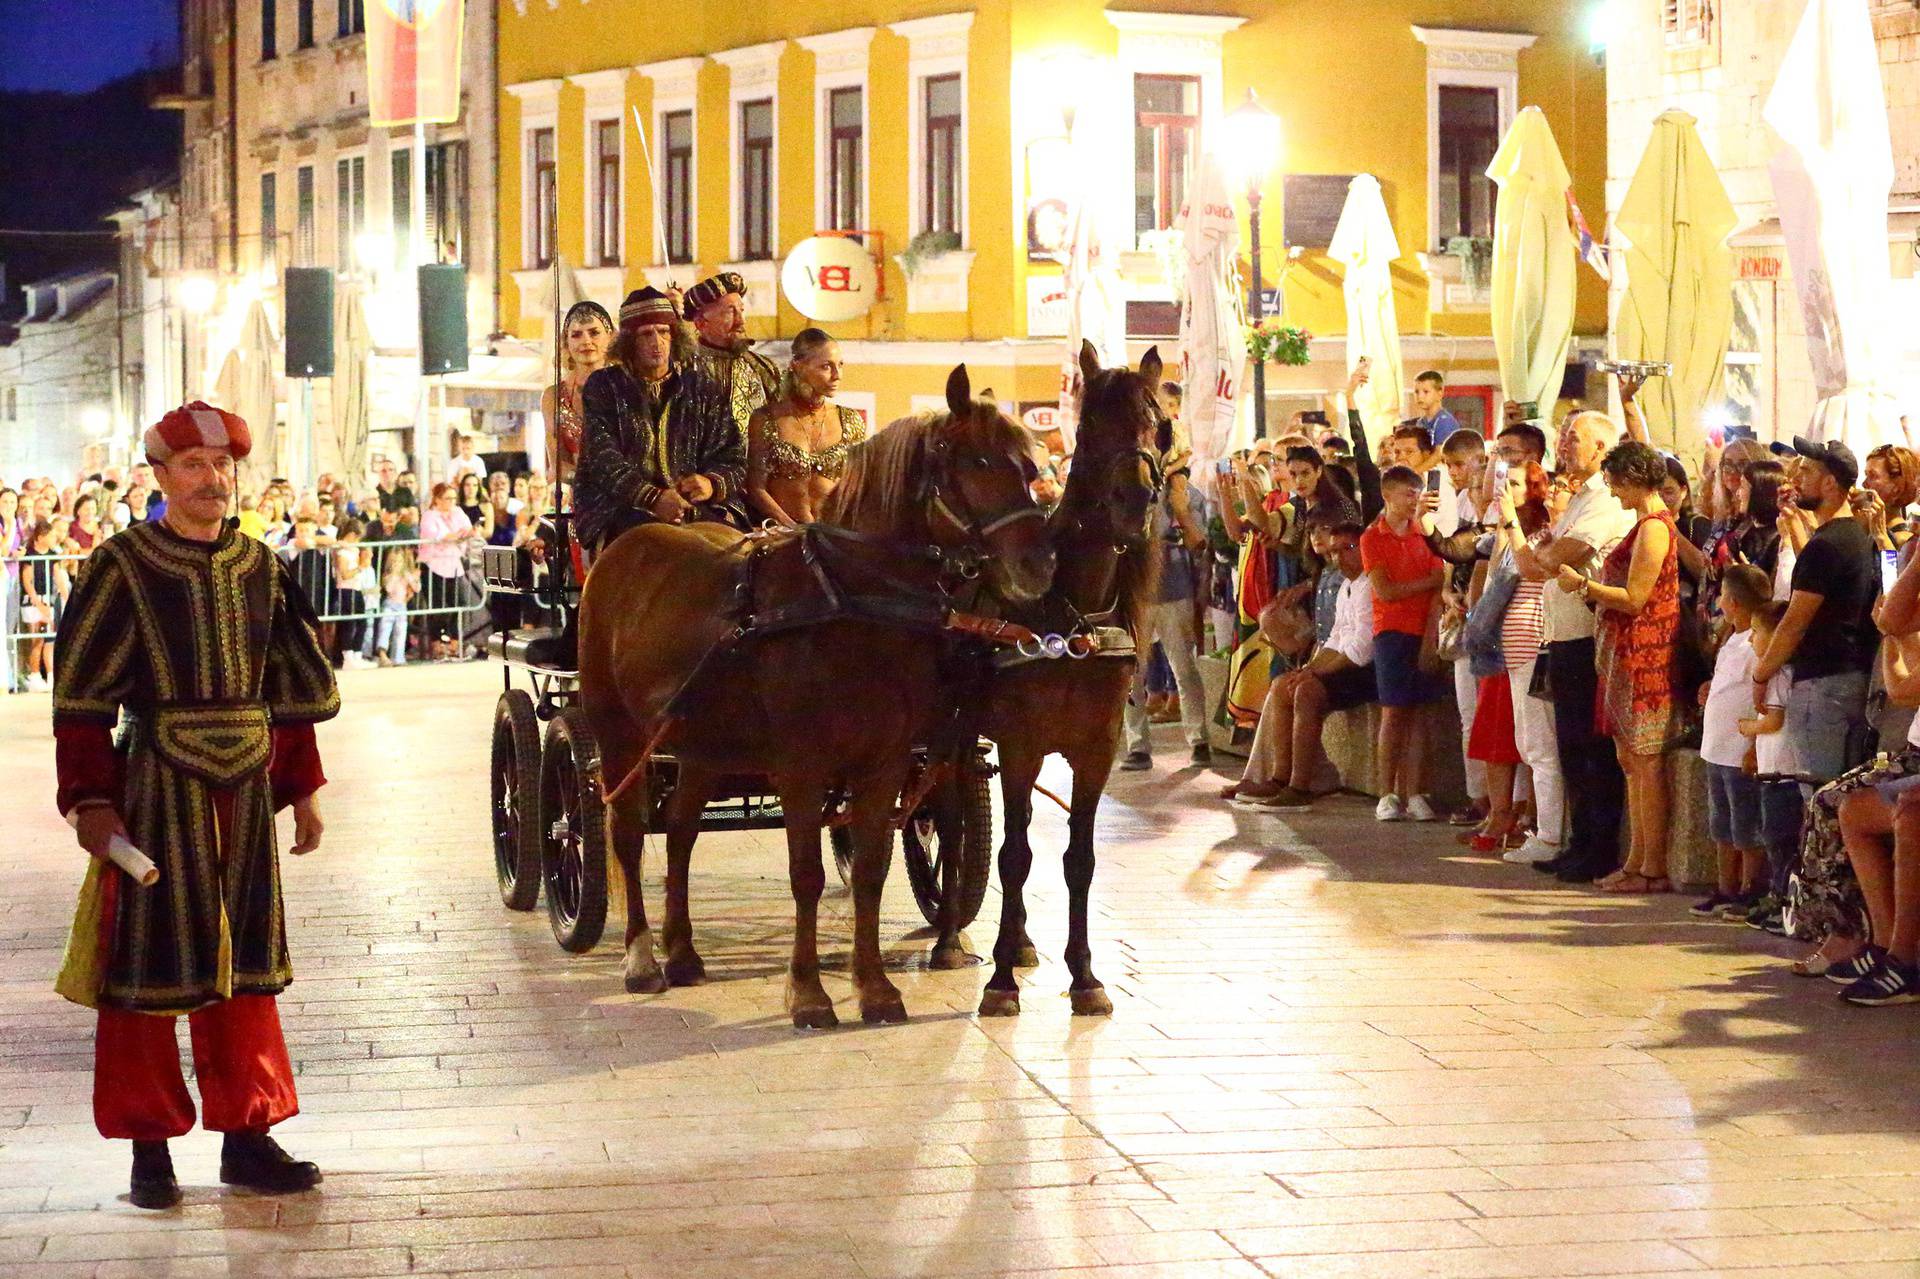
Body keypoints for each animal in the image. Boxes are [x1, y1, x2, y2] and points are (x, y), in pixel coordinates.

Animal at [572, 361, 1052, 1029]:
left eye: (1028, 465)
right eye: (978, 462)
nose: (1039, 565)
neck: (850, 601)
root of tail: (626, 549)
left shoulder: (884, 764)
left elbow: (872, 871)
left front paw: (876, 987)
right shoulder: (801, 768)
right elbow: (806, 875)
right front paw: (808, 993)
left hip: (700, 745)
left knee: (683, 830)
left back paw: (684, 952)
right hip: (618, 735)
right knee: (627, 831)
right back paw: (642, 958)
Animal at [925, 341, 1152, 1013]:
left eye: (1155, 422)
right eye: (1093, 425)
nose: (1135, 503)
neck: (1071, 615)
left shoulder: (1096, 751)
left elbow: (1078, 858)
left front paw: (1085, 976)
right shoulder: (1023, 747)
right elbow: (1014, 856)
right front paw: (1000, 979)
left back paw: (1022, 941)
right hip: (954, 736)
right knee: (954, 822)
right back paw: (950, 937)